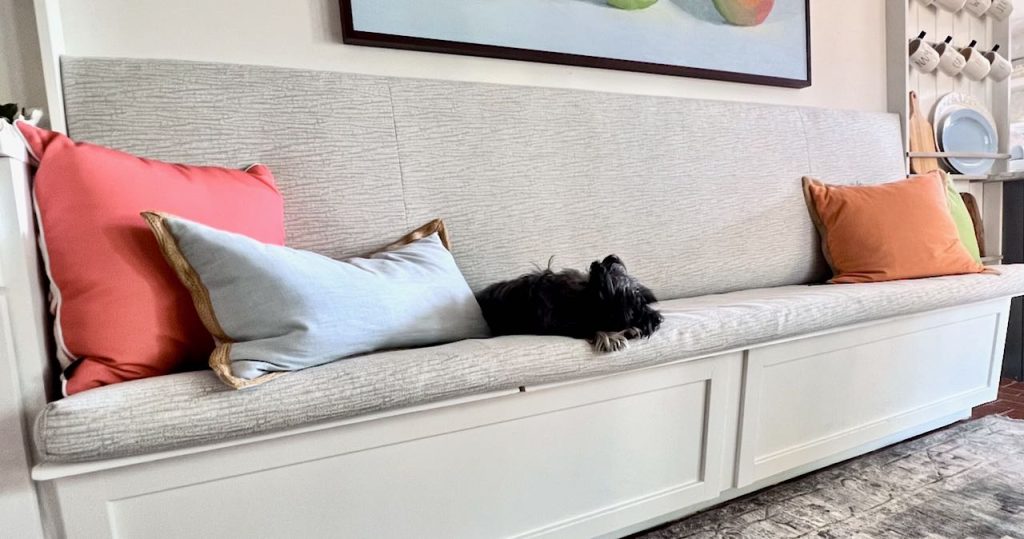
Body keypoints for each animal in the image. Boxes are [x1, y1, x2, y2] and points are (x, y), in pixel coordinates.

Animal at [477, 256, 663, 352]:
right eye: (636, 306)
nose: (658, 320)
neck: (581, 297)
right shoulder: (560, 324)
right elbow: (588, 327)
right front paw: (611, 336)